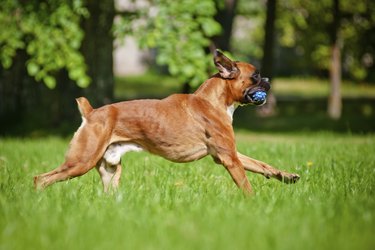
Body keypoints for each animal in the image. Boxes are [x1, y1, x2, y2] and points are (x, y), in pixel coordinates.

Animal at [34, 48, 300, 193]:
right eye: (255, 76)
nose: (268, 80)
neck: (213, 100)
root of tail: (91, 113)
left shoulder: (231, 154)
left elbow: (262, 165)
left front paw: (286, 176)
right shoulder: (229, 158)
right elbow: (246, 185)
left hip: (110, 169)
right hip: (80, 162)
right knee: (40, 179)